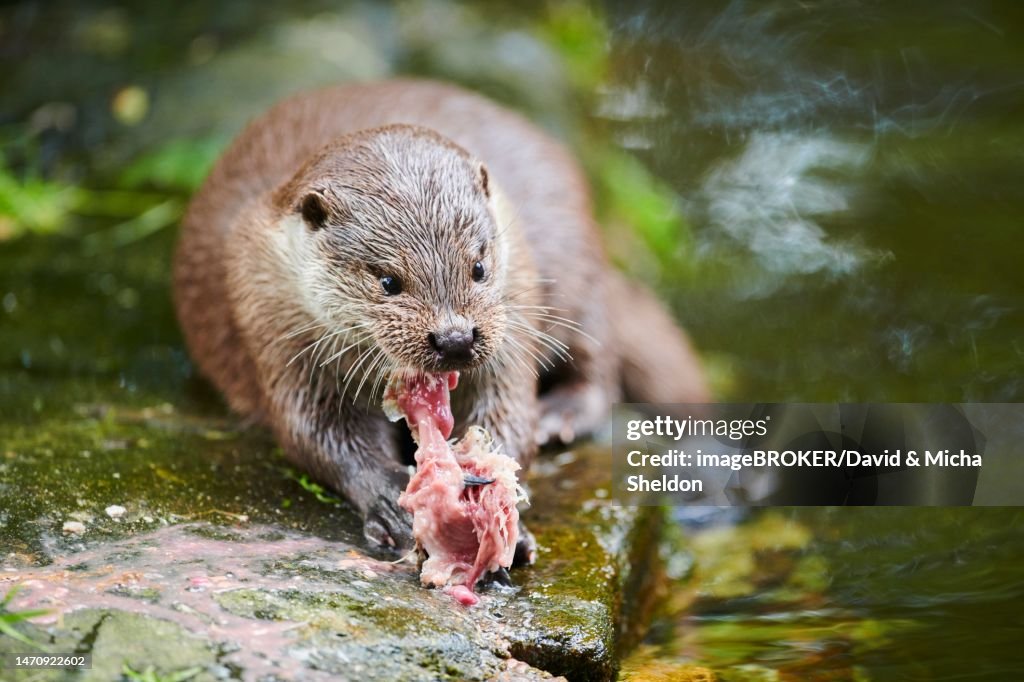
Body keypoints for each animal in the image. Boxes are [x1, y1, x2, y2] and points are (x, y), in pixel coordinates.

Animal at [174, 80, 708, 557]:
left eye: (478, 266)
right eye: (388, 280)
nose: (455, 338)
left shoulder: (513, 316)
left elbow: (510, 412)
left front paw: (504, 508)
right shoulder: (275, 330)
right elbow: (315, 433)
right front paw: (391, 500)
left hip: (574, 268)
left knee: (599, 358)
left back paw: (562, 414)